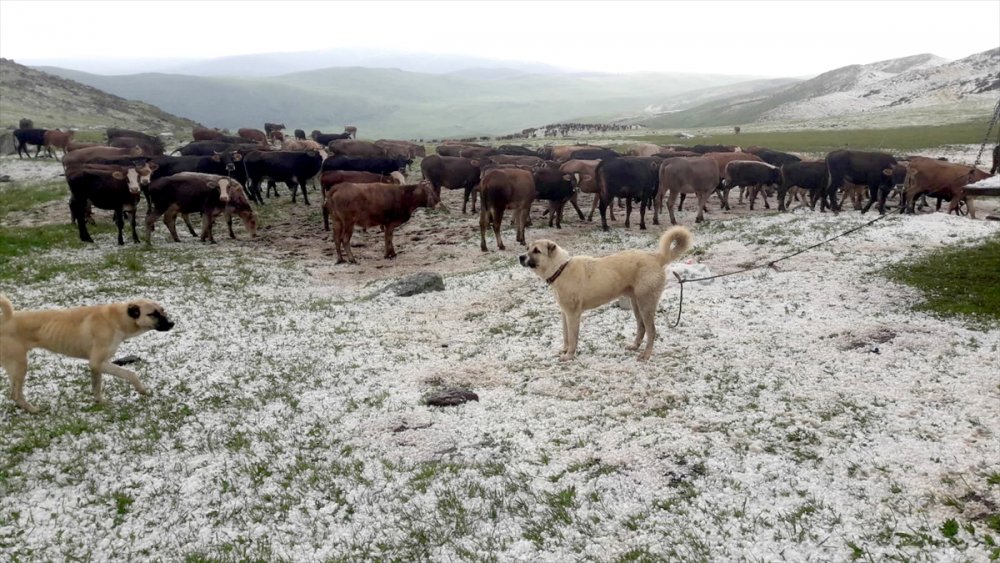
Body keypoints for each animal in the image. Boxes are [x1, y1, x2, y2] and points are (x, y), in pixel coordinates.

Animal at [0, 296, 174, 414]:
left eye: (163, 311)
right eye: (153, 314)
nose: (172, 323)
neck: (117, 319)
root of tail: (6, 319)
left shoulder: (98, 365)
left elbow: (96, 385)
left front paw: (99, 402)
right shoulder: (98, 362)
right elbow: (130, 374)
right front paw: (142, 389)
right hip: (19, 365)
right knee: (15, 394)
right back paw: (33, 410)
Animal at [520, 228, 692, 364]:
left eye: (536, 250)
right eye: (527, 248)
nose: (520, 257)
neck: (560, 268)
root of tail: (655, 257)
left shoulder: (573, 314)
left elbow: (573, 337)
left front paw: (569, 356)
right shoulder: (564, 313)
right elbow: (565, 335)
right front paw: (564, 350)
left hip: (646, 304)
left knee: (652, 331)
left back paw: (646, 355)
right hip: (636, 303)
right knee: (641, 327)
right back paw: (634, 346)